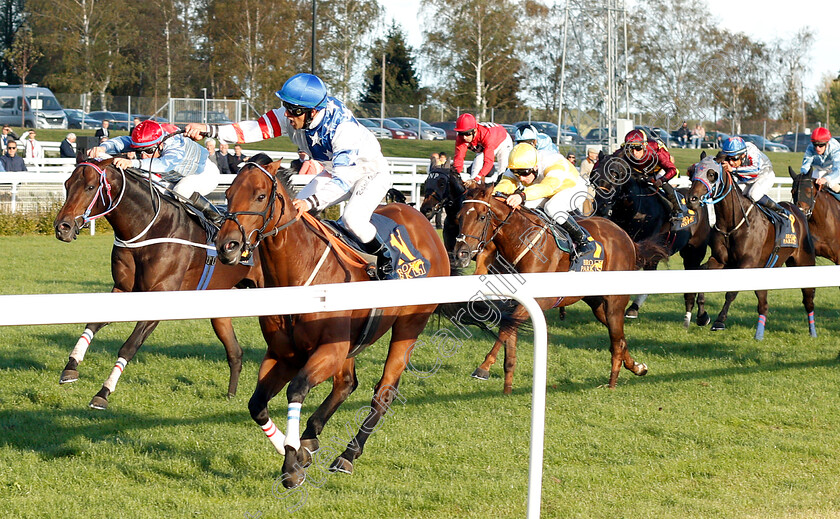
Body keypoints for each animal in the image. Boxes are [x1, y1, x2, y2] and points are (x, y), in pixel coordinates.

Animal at [53, 158, 262, 410]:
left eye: (90, 187)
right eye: (67, 184)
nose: (62, 227)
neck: (151, 229)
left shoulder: (160, 295)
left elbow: (129, 346)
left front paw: (103, 393)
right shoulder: (122, 288)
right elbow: (93, 322)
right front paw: (71, 367)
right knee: (235, 352)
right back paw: (231, 396)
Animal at [213, 158, 450, 488]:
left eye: (260, 196)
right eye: (228, 193)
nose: (228, 247)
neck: (300, 271)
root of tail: (424, 224)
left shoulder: (328, 350)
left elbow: (297, 389)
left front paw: (291, 464)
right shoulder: (284, 354)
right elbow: (257, 404)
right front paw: (296, 451)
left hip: (410, 324)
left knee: (384, 391)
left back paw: (347, 455)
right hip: (350, 343)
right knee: (346, 384)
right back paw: (311, 438)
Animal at [450, 182, 660, 390]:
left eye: (481, 216)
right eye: (458, 217)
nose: (461, 254)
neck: (521, 240)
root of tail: (625, 235)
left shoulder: (540, 299)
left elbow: (506, 329)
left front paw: (484, 367)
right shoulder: (513, 301)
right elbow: (508, 334)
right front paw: (506, 386)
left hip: (615, 301)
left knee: (617, 339)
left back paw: (612, 383)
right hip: (598, 304)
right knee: (620, 338)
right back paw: (637, 367)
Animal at [592, 152, 708, 328]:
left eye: (615, 174)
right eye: (593, 174)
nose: (600, 206)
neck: (633, 210)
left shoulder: (645, 252)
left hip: (694, 252)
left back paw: (696, 315)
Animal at [684, 156, 816, 340]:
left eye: (711, 174)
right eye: (692, 172)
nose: (692, 199)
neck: (731, 223)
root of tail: (799, 211)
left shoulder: (747, 263)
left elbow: (731, 292)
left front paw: (719, 321)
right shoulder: (720, 260)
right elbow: (701, 273)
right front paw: (703, 316)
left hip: (804, 262)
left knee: (808, 299)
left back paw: (813, 332)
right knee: (763, 304)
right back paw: (759, 334)